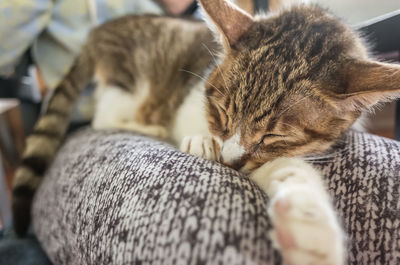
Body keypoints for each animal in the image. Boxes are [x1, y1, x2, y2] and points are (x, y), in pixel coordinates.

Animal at [11, 0, 400, 264]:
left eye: (272, 137)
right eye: (222, 113)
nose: (228, 162)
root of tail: (97, 33)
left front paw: (307, 225)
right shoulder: (193, 93)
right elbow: (193, 121)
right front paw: (201, 140)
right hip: (134, 80)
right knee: (105, 116)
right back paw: (149, 124)